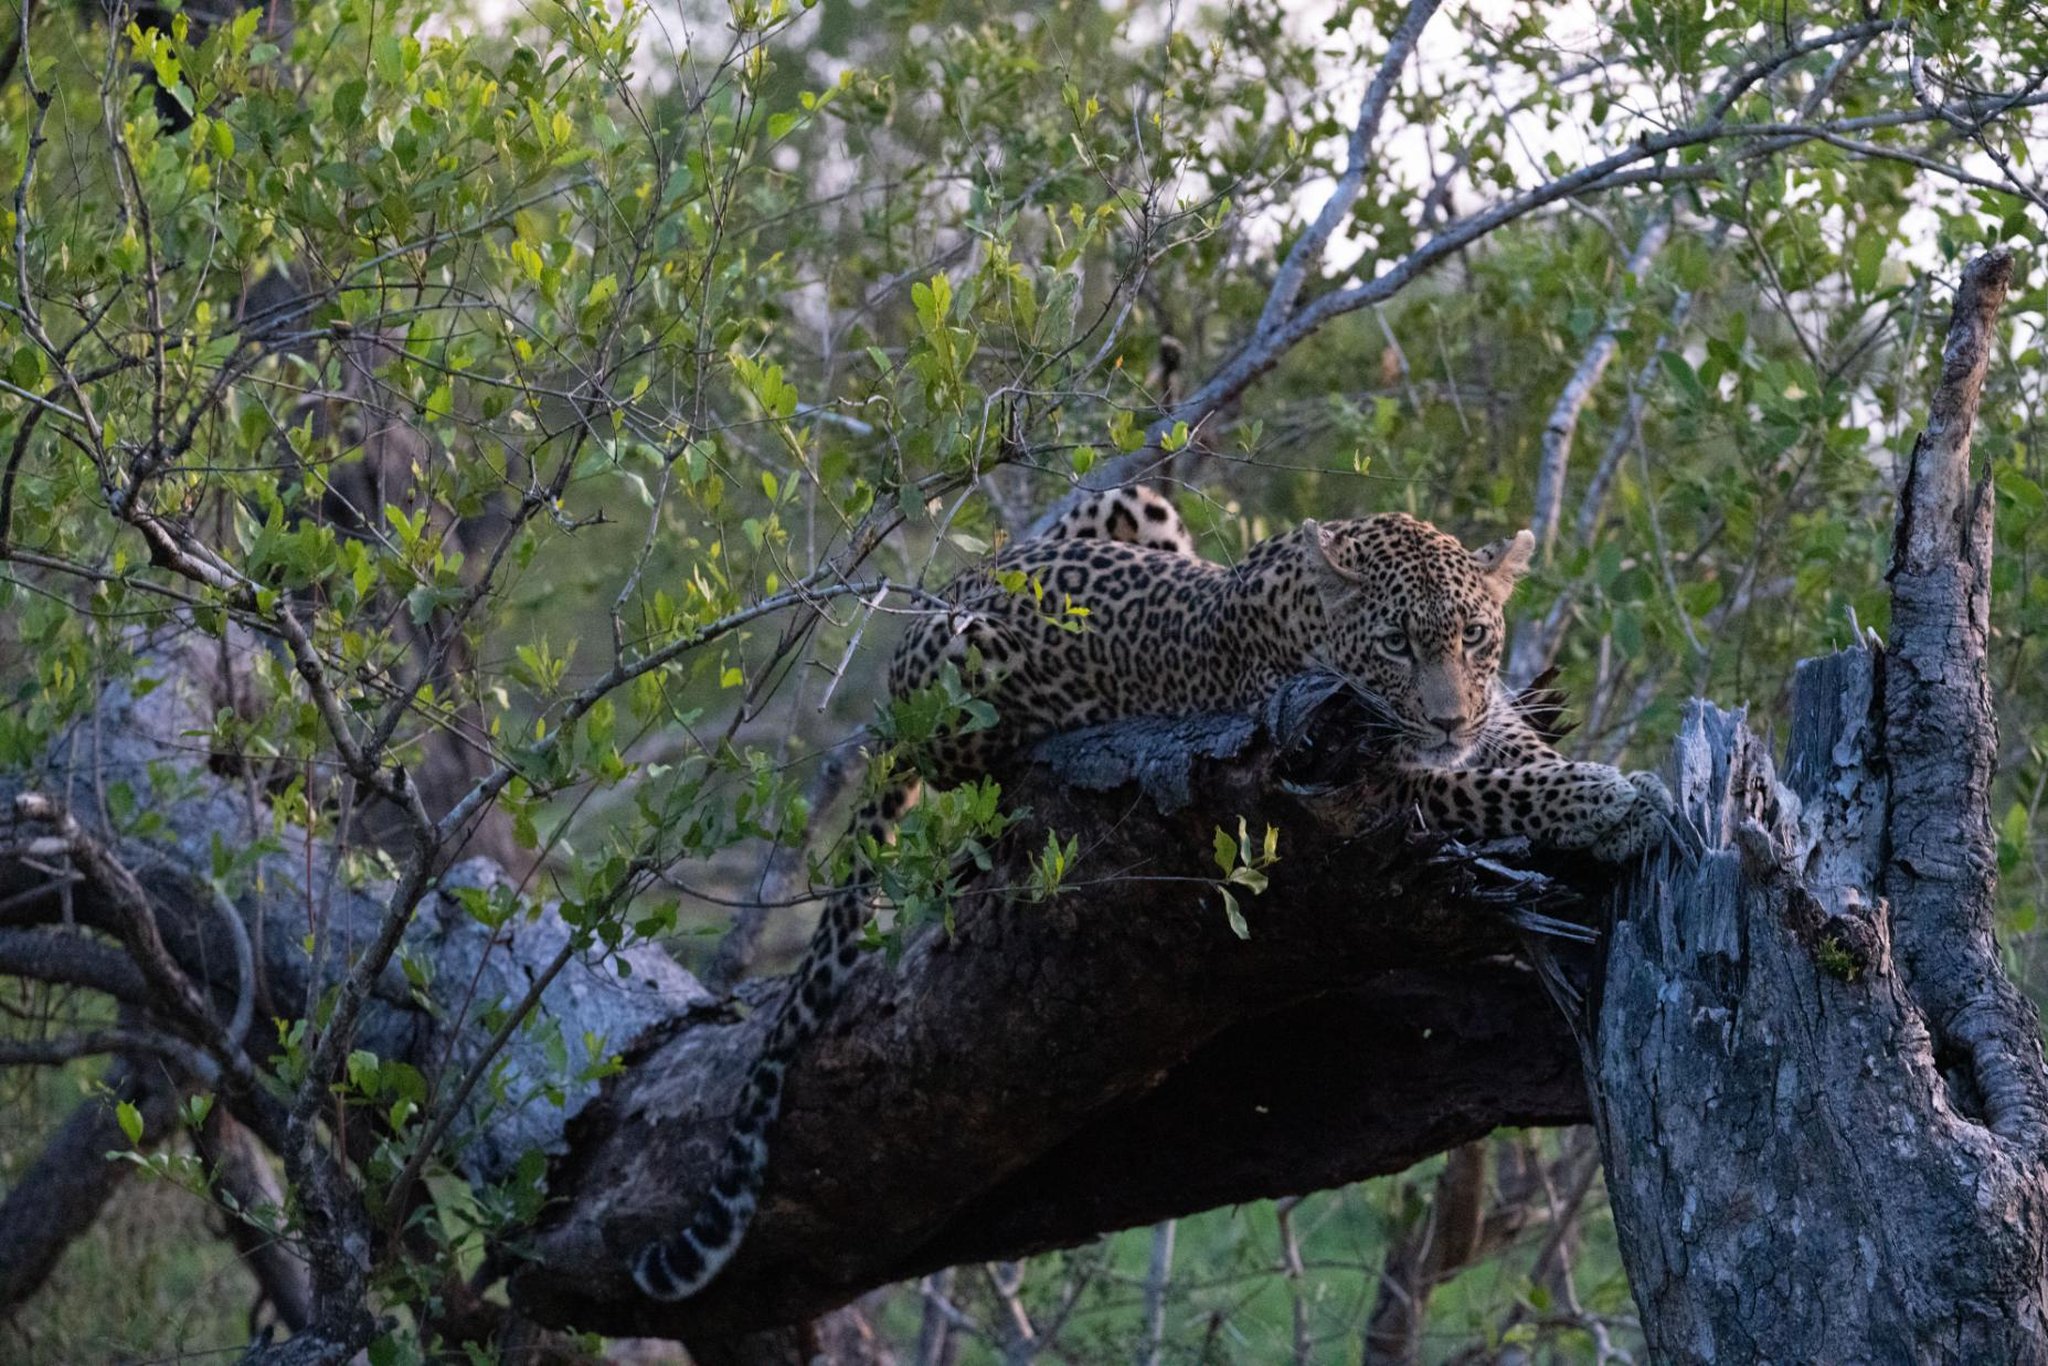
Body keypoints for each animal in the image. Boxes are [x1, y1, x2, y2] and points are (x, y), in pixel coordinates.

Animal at [631, 489, 1672, 1300]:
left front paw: (1605, 781)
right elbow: (1503, 786)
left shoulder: (1485, 725)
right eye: (1394, 643)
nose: (1448, 717)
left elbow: (1523, 758)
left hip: (1133, 503)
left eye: (1475, 637)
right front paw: (1616, 805)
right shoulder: (1362, 770)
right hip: (970, 669)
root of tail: (944, 602)